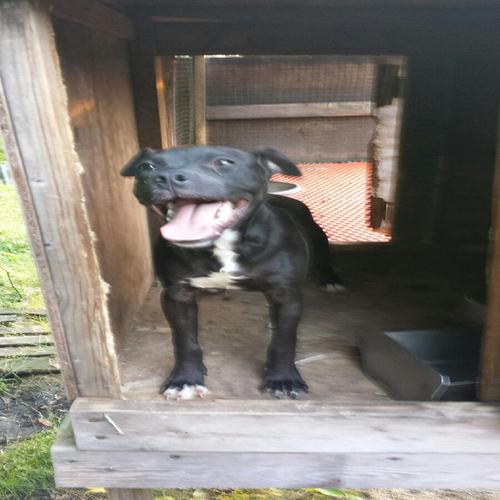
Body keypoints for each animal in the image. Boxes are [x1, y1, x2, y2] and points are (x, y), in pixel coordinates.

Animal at [121, 146, 344, 399]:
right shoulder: (177, 295)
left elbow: (284, 341)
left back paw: (330, 279)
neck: (222, 244)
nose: (166, 177)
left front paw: (283, 379)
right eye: (147, 167)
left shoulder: (286, 294)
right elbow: (184, 341)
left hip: (317, 235)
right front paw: (185, 379)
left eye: (224, 162)